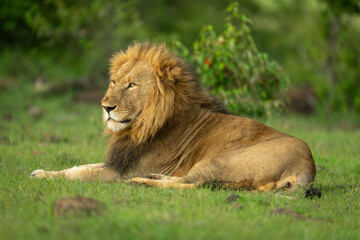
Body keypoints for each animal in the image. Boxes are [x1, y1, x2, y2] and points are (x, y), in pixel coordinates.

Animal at [31, 41, 318, 191]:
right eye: (113, 82)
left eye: (131, 85)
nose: (105, 107)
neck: (139, 127)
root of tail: (307, 165)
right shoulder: (119, 162)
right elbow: (80, 167)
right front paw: (41, 171)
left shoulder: (120, 173)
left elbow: (81, 175)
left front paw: (45, 176)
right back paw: (153, 178)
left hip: (218, 161)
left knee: (197, 184)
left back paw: (144, 182)